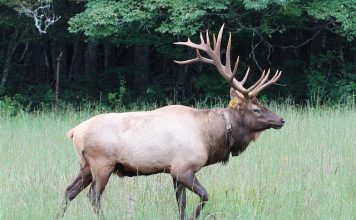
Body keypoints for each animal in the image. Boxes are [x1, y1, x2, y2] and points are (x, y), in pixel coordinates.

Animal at [59, 24, 286, 220]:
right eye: (256, 109)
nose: (281, 120)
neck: (210, 136)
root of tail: (74, 132)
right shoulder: (183, 167)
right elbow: (204, 195)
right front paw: (195, 216)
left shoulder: (174, 170)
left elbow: (181, 203)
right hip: (102, 163)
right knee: (93, 196)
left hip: (85, 165)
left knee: (69, 191)